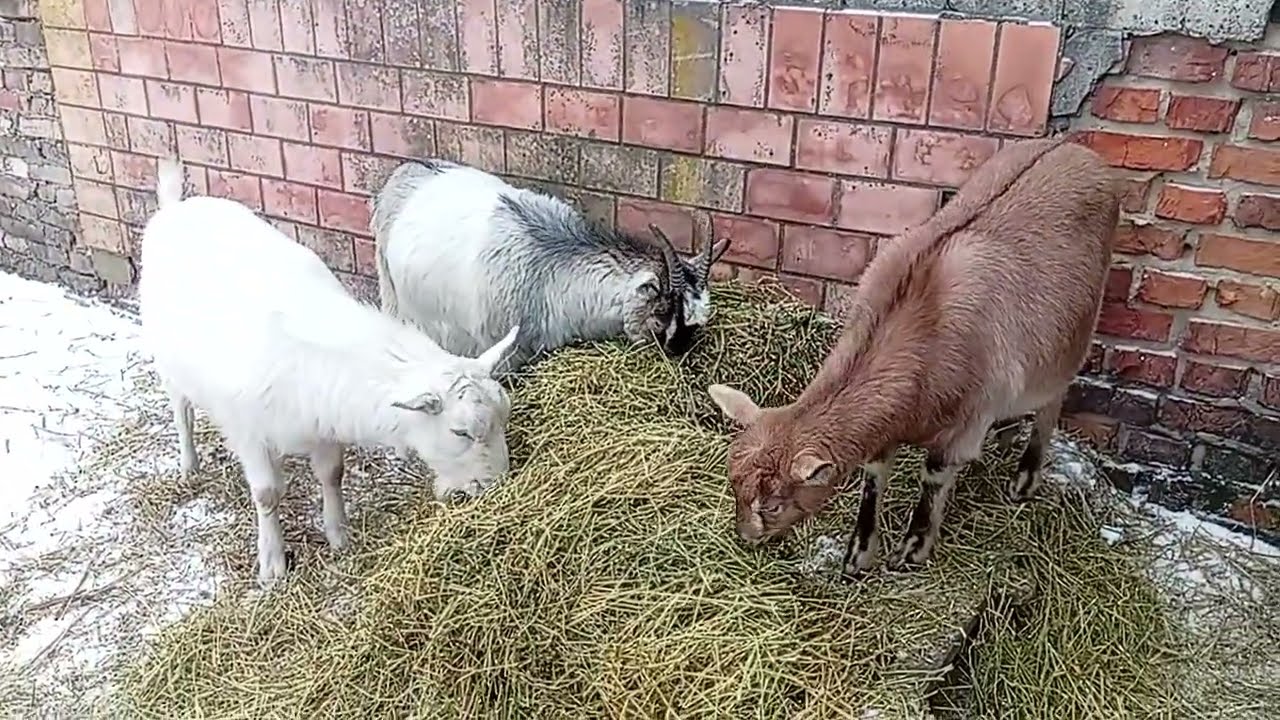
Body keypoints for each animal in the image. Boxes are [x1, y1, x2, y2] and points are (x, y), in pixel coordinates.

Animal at [138, 158, 520, 588]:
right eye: (460, 432)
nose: (495, 486)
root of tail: (174, 208)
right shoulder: (248, 432)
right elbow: (266, 493)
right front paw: (272, 565)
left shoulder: (324, 426)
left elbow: (332, 474)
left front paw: (340, 537)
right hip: (167, 361)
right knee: (181, 411)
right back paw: (188, 465)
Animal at [370, 159, 731, 374]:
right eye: (662, 314)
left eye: (697, 322)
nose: (678, 356)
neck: (549, 272)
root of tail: (403, 171)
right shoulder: (501, 356)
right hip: (392, 291)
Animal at [706, 137, 1119, 576]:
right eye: (733, 484)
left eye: (772, 504)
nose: (746, 538)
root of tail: (1075, 147)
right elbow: (873, 477)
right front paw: (858, 555)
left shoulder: (962, 426)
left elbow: (933, 479)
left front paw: (911, 550)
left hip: (1074, 336)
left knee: (1052, 403)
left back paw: (1025, 478)